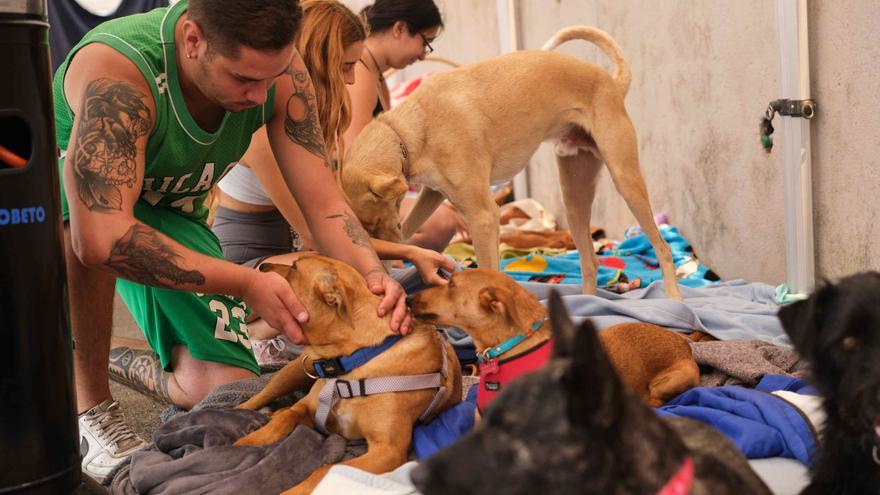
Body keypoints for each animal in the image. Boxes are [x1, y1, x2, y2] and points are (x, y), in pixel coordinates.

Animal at [237, 258, 464, 494]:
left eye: (295, 268)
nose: (261, 267)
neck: (351, 364)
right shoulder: (309, 406)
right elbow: (289, 415)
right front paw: (253, 440)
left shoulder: (387, 450)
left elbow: (327, 469)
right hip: (291, 372)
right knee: (256, 400)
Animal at [342, 27, 680, 300]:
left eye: (372, 219)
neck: (410, 129)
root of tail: (612, 82)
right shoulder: (434, 194)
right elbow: (412, 225)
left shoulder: (483, 216)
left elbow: (489, 271)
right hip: (574, 194)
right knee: (590, 261)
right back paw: (587, 305)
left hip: (626, 180)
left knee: (663, 249)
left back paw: (674, 300)